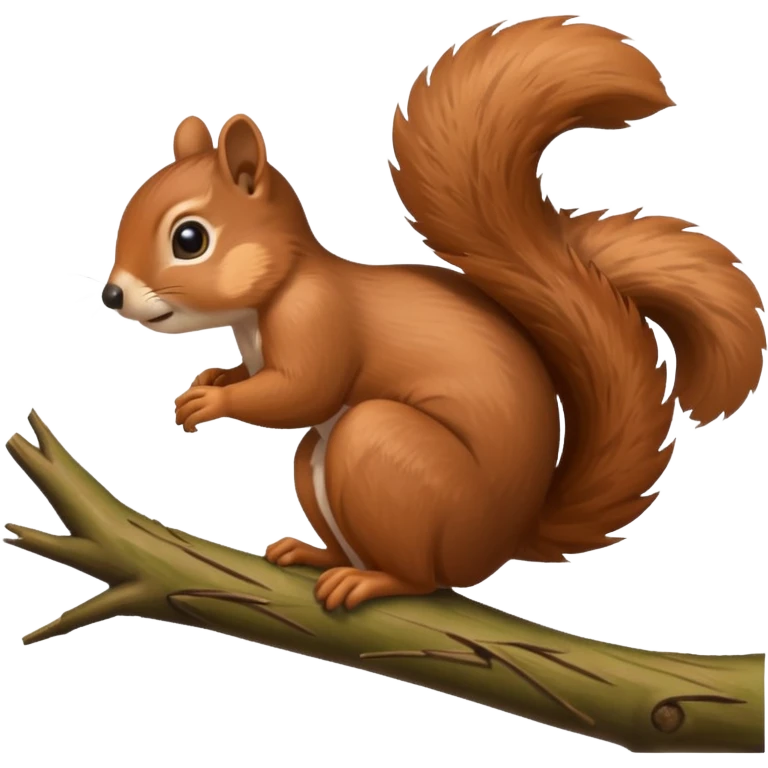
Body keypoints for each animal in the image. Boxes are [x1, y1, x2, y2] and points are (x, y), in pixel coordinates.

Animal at [105, 15, 766, 612]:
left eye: (189, 239)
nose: (111, 296)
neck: (267, 297)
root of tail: (501, 540)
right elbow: (256, 376)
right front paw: (208, 381)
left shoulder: (319, 318)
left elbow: (303, 391)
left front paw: (212, 401)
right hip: (322, 466)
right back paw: (317, 555)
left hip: (382, 450)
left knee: (422, 576)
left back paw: (372, 582)